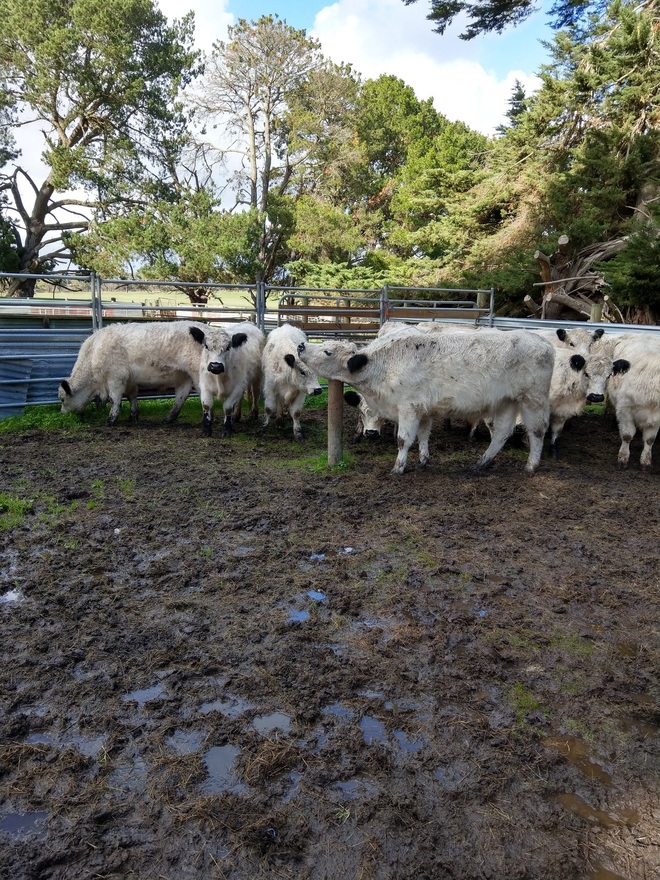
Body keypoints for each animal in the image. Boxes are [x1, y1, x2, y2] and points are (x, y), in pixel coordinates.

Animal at [58, 320, 233, 426]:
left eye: (62, 399)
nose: (63, 414)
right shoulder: (129, 380)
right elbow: (132, 396)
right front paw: (133, 416)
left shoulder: (115, 377)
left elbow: (115, 399)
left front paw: (111, 419)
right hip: (184, 376)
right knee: (181, 397)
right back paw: (168, 419)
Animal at [297, 329, 555, 475]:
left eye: (328, 351)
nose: (301, 345)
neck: (384, 365)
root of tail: (543, 341)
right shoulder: (423, 410)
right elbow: (422, 436)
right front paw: (422, 461)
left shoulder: (408, 407)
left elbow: (403, 439)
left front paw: (398, 468)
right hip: (506, 401)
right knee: (501, 432)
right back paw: (481, 464)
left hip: (533, 399)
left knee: (537, 431)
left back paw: (531, 466)